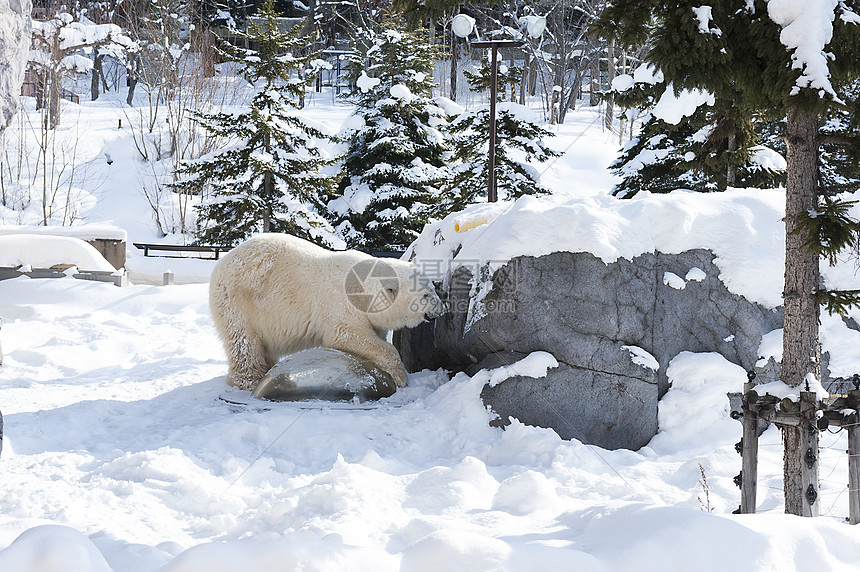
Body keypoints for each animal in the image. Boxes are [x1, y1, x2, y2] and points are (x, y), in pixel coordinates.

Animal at [208, 235, 444, 392]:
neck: (361, 288)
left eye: (433, 288)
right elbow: (348, 335)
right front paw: (402, 377)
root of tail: (221, 264)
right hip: (238, 302)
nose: (441, 310)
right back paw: (248, 380)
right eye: (425, 295)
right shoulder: (340, 305)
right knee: (243, 342)